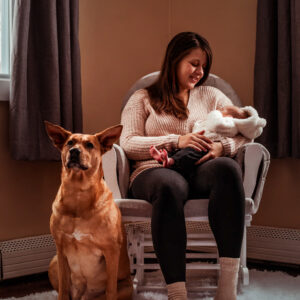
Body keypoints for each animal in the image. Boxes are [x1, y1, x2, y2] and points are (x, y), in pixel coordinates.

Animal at [44, 122, 132, 300]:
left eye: (90, 145)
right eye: (70, 143)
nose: (74, 151)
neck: (78, 192)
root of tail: (83, 296)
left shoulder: (111, 251)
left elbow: (110, 290)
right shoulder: (61, 250)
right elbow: (63, 289)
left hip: (127, 287)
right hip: (54, 262)